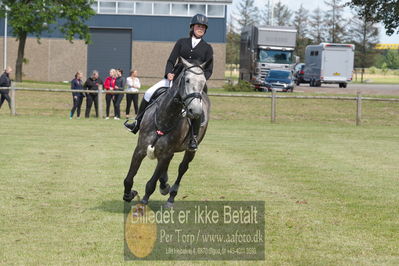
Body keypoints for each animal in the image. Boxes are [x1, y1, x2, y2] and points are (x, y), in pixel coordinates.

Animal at [122, 57, 211, 208]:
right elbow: (129, 178)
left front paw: (144, 201)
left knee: (182, 168)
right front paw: (129, 194)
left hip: (190, 150)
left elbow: (151, 183)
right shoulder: (140, 149)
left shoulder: (165, 154)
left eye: (203, 82)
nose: (196, 111)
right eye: (187, 80)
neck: (165, 117)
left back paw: (171, 196)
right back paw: (164, 184)